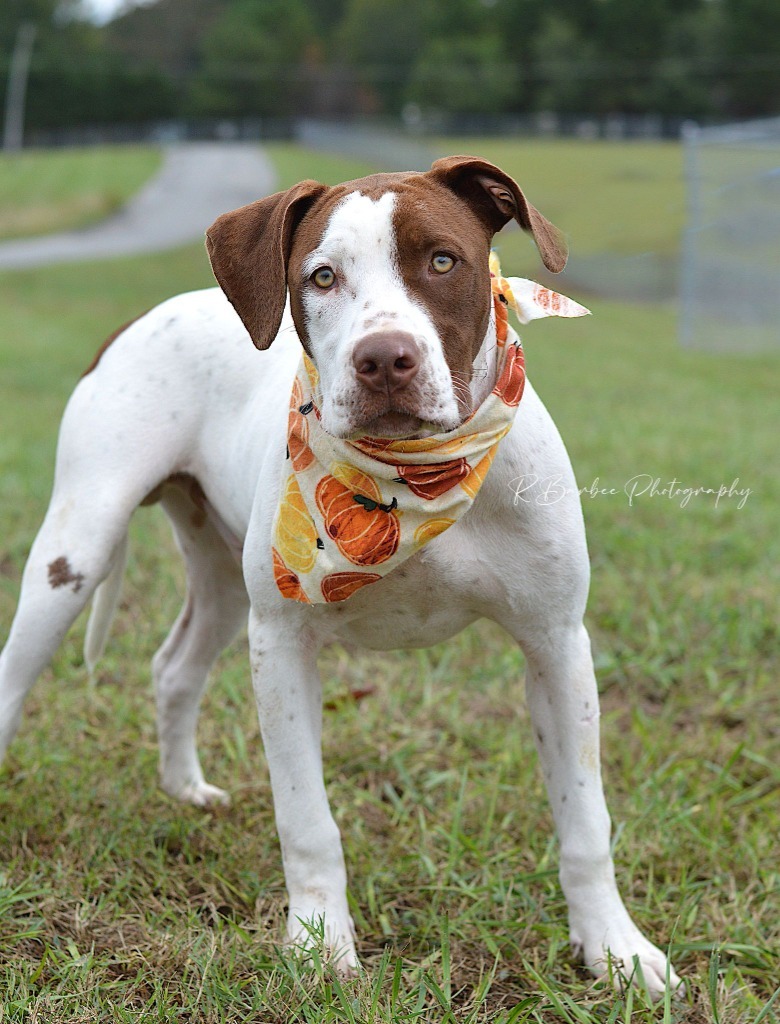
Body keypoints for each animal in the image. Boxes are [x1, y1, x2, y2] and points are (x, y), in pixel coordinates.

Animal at [0, 155, 679, 995]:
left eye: (443, 261)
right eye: (322, 276)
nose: (384, 359)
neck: (419, 477)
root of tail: (140, 319)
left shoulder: (556, 644)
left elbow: (586, 822)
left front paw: (616, 949)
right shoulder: (283, 643)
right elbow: (307, 821)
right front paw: (321, 947)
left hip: (221, 578)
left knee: (174, 665)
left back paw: (185, 788)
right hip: (78, 549)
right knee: (17, 674)